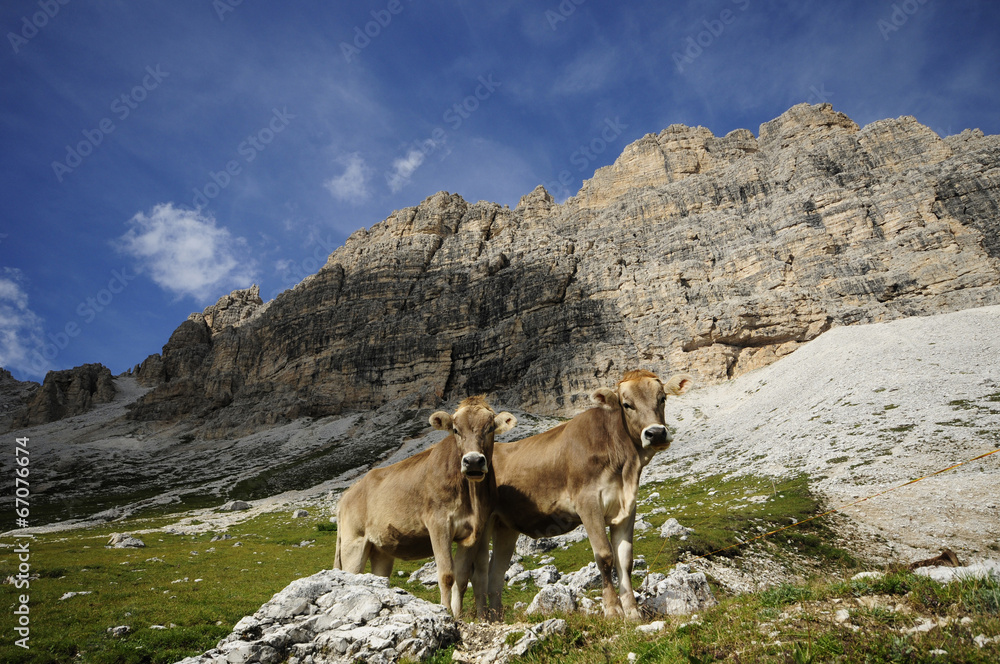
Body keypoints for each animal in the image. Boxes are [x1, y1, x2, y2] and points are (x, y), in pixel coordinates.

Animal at [336, 396, 520, 620]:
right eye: (456, 430)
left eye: (490, 428)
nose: (474, 461)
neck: (471, 496)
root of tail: (347, 495)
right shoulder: (439, 524)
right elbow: (446, 575)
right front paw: (446, 612)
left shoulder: (473, 531)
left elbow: (461, 577)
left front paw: (457, 615)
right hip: (353, 542)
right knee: (351, 574)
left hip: (381, 550)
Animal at [486, 370, 692, 620]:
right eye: (627, 404)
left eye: (662, 398)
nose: (656, 433)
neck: (625, 466)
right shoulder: (587, 503)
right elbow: (604, 555)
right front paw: (612, 609)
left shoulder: (627, 507)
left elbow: (625, 559)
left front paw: (632, 611)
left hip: (504, 527)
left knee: (494, 574)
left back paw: (493, 618)